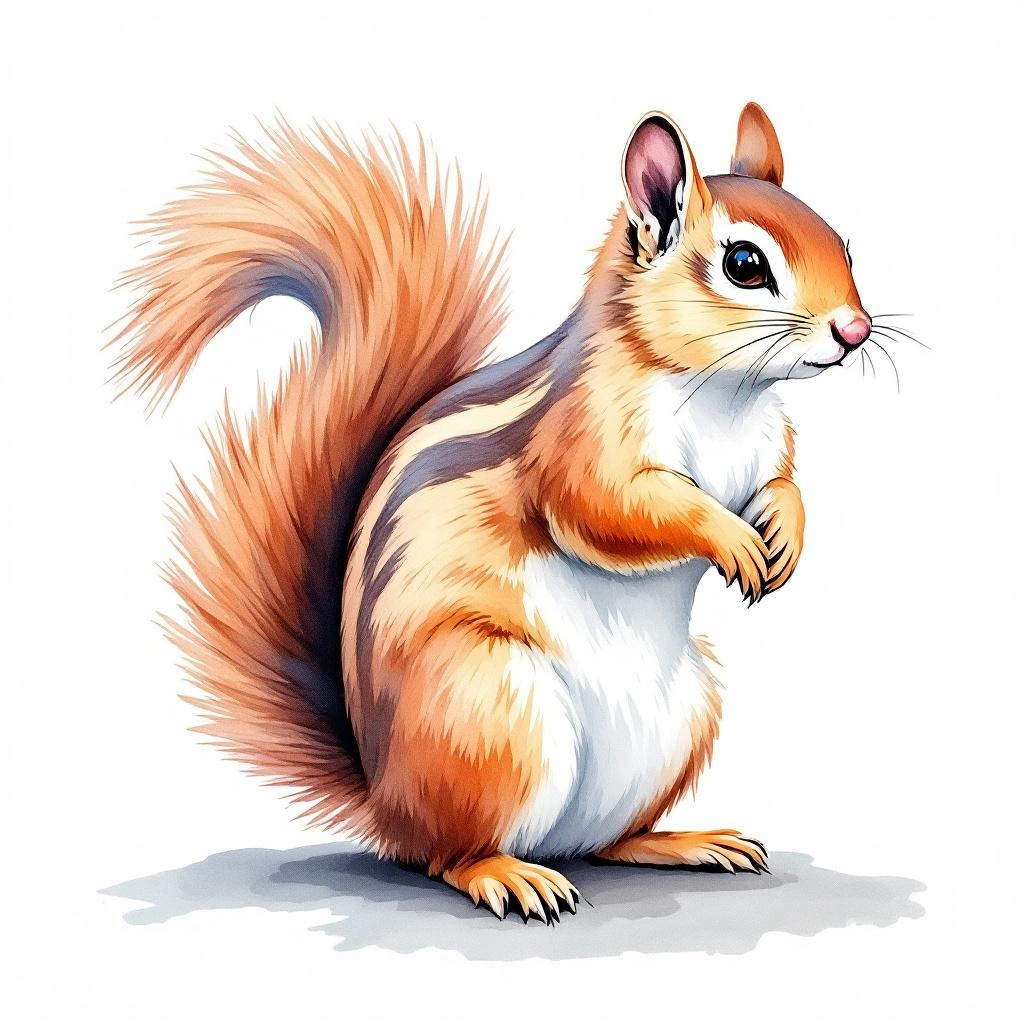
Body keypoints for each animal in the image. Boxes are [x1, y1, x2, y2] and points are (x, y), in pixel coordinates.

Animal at [112, 103, 872, 923]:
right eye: (745, 264)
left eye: (844, 243)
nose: (854, 331)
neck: (727, 394)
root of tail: (384, 798)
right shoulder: (581, 442)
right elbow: (611, 510)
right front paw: (729, 537)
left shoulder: (768, 448)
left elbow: (784, 487)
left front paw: (784, 535)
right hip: (490, 708)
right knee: (449, 854)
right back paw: (507, 875)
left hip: (683, 718)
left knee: (603, 840)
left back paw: (683, 842)